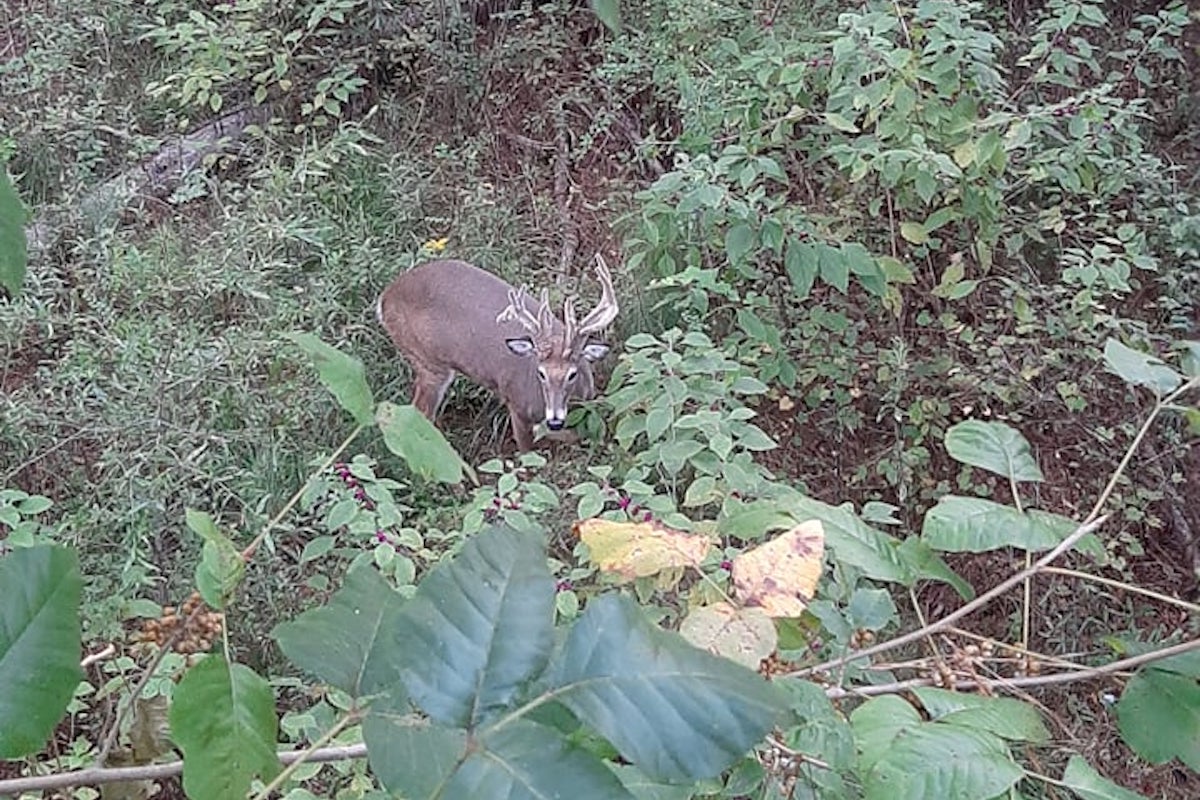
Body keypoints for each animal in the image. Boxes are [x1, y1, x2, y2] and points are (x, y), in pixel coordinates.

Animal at [375, 255, 619, 451]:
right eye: (541, 373)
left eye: (572, 374)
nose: (555, 420)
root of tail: (385, 297)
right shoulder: (517, 405)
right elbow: (527, 452)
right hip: (429, 361)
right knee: (421, 413)